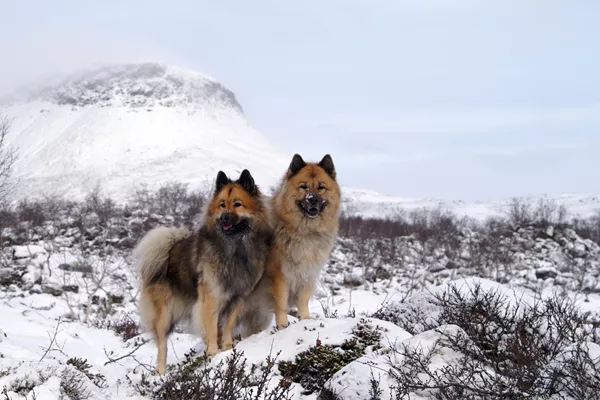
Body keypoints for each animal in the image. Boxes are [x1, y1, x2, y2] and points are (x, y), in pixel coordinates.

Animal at [133, 170, 272, 376]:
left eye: (237, 204)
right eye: (222, 204)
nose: (224, 218)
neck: (235, 248)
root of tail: (167, 252)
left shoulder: (237, 298)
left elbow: (228, 326)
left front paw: (228, 348)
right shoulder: (211, 298)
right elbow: (212, 329)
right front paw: (214, 353)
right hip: (164, 315)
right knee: (162, 345)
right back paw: (161, 373)